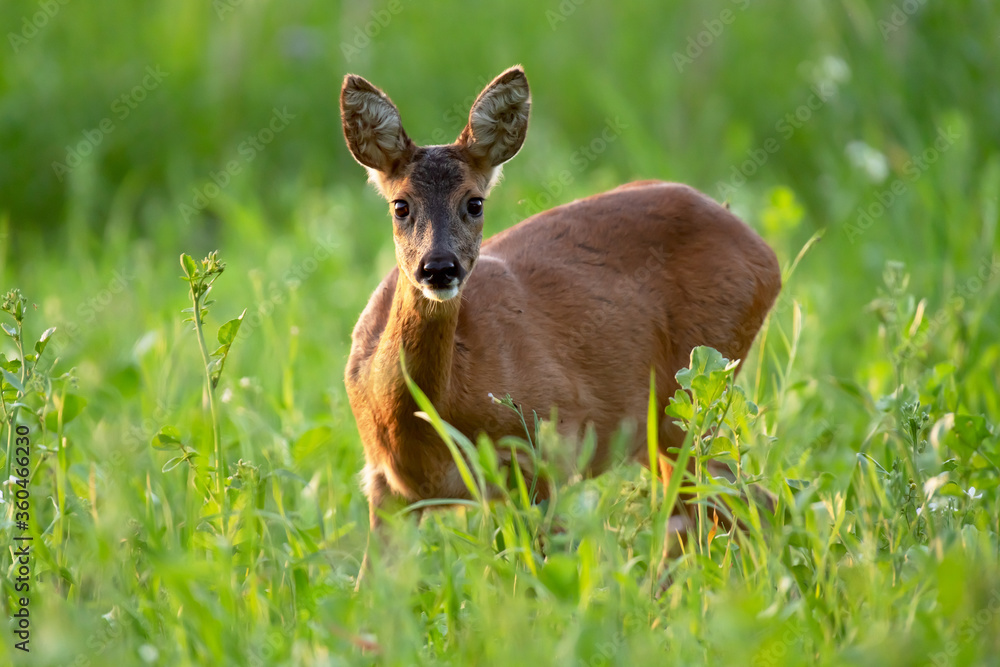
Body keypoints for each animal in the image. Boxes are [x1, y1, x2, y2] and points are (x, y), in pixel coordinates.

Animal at [340, 65, 781, 568]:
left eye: (474, 202)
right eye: (400, 205)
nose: (439, 268)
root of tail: (766, 253)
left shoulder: (543, 451)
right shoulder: (385, 488)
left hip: (690, 399)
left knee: (722, 510)